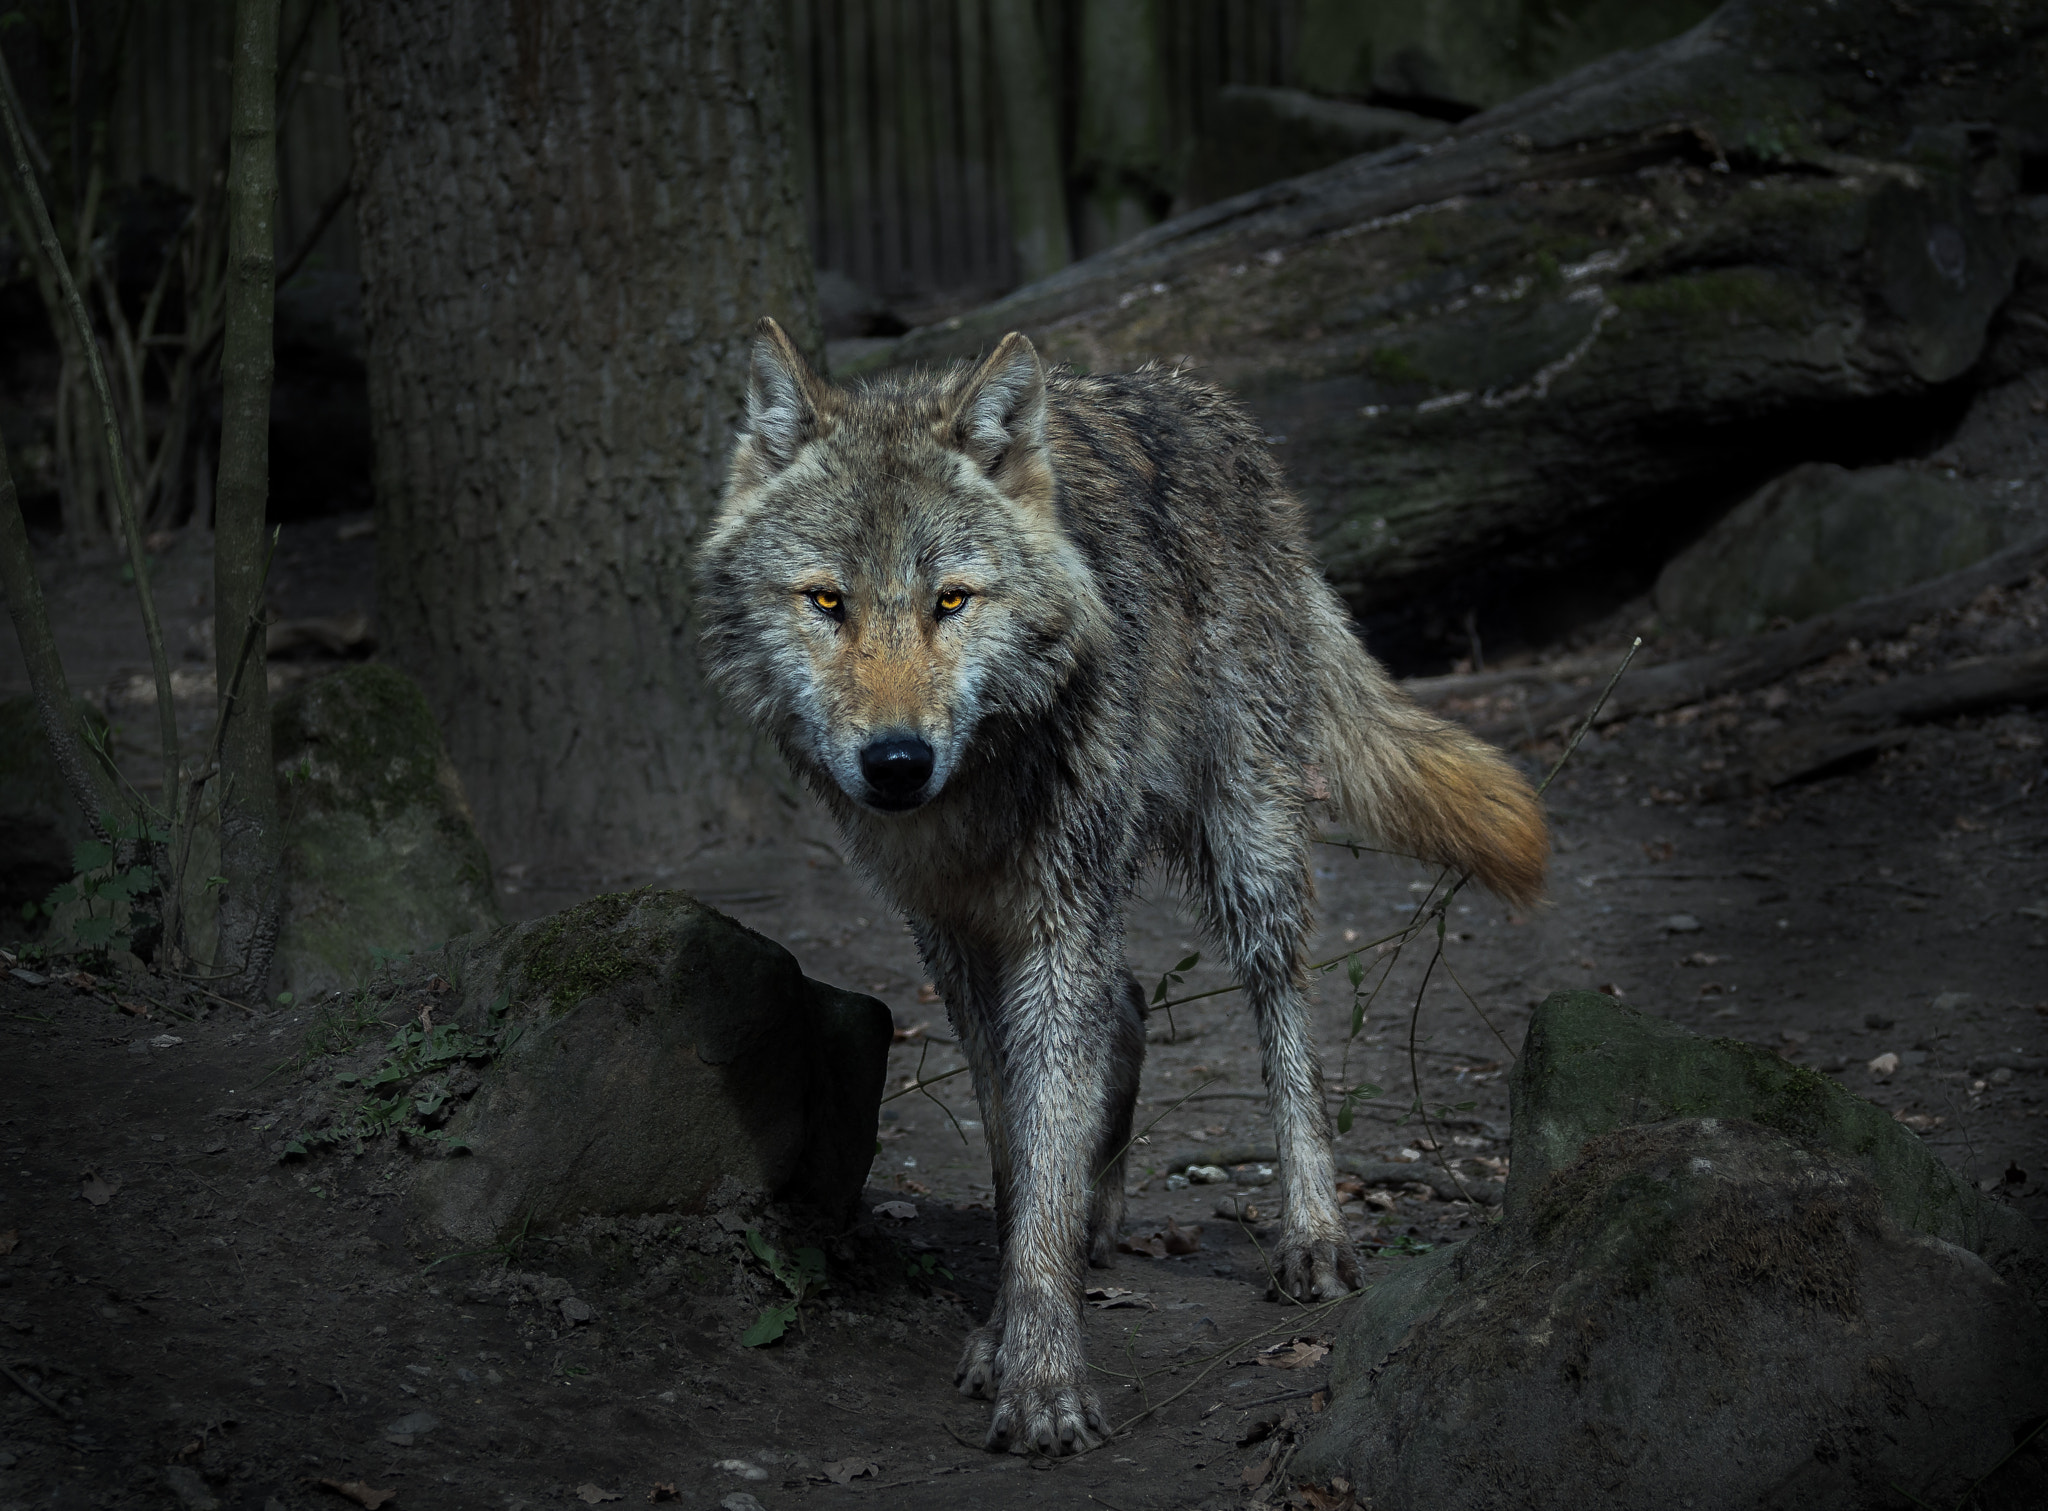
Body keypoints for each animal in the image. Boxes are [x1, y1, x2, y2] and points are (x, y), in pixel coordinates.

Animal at [695, 318, 1548, 1454]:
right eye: (827, 601)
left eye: (950, 599)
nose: (896, 763)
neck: (979, 784)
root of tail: (1202, 406)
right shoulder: (953, 935)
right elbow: (1020, 1148)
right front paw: (1009, 1322)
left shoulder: (1058, 919)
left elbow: (1048, 1135)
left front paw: (1042, 1375)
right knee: (1131, 1005)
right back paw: (1101, 1218)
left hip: (1246, 847)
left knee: (1286, 1030)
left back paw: (1312, 1237)